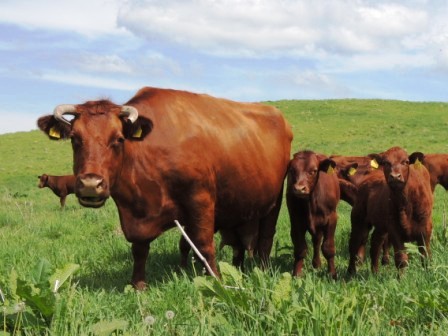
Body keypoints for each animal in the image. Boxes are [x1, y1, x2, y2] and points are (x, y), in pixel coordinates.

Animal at [36, 86, 292, 288]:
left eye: (118, 139)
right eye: (74, 139)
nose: (91, 184)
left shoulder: (200, 199)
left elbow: (203, 244)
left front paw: (217, 282)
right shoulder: (135, 215)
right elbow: (140, 249)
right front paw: (138, 285)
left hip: (273, 201)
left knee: (265, 239)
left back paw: (262, 269)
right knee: (239, 245)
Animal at [288, 151, 340, 280]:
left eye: (313, 171)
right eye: (292, 170)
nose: (299, 189)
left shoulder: (331, 219)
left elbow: (328, 248)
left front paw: (332, 274)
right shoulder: (296, 220)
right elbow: (300, 248)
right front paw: (297, 274)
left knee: (317, 241)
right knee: (316, 241)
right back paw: (316, 264)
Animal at [346, 146, 434, 274]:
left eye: (405, 162)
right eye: (385, 163)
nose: (395, 176)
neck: (406, 203)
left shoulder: (425, 228)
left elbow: (425, 255)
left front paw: (428, 274)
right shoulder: (394, 229)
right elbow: (401, 259)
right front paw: (401, 278)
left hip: (380, 226)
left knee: (375, 243)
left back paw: (375, 273)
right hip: (359, 219)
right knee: (354, 243)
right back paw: (350, 272)